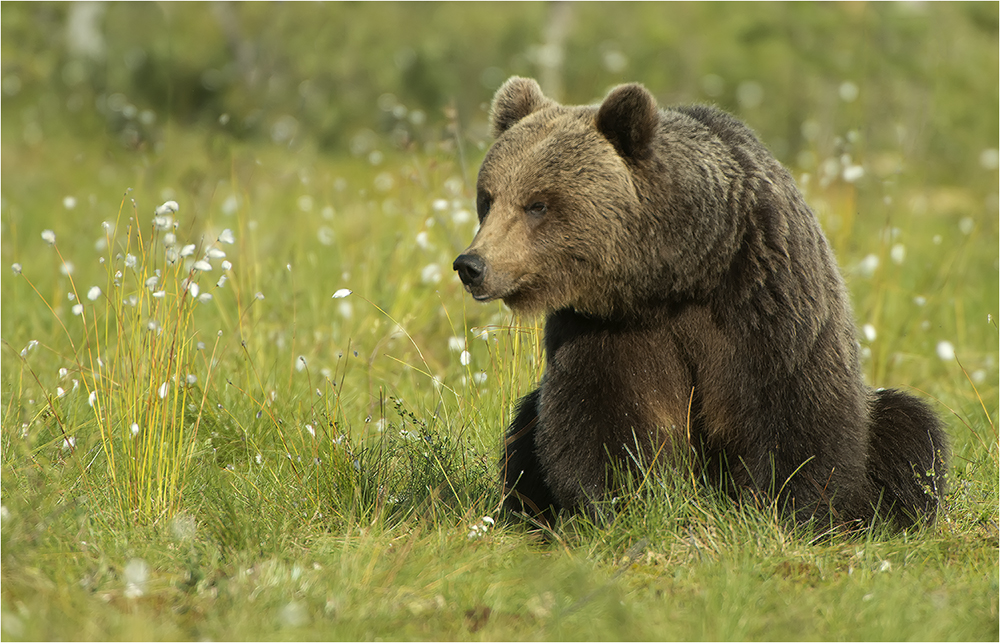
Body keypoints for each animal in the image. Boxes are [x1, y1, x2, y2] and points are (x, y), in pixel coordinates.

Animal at [458, 76, 948, 528]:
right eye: (488, 198)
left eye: (537, 204)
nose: (471, 264)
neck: (678, 275)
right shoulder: (605, 328)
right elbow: (600, 417)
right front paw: (622, 505)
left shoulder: (763, 295)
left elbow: (792, 409)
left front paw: (783, 511)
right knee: (525, 428)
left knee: (907, 429)